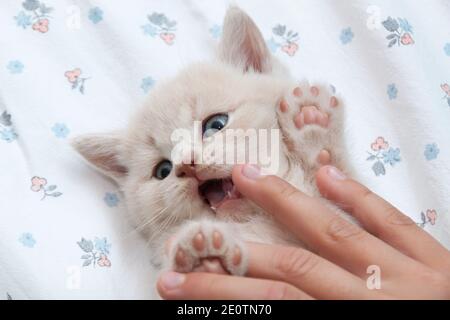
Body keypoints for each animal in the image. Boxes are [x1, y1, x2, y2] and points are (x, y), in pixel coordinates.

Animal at [72, 6, 350, 278]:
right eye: (162, 170)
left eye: (216, 124)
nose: (186, 163)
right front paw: (203, 254)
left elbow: (328, 187)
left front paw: (313, 127)